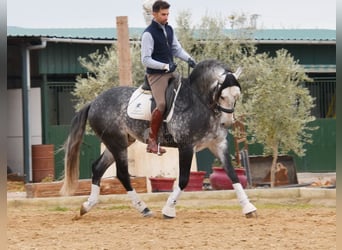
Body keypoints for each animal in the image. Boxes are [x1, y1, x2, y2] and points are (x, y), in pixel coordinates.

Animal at [60, 59, 256, 219]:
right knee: (122, 174)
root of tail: (94, 102)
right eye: (222, 95)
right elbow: (183, 179)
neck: (200, 102)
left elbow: (232, 174)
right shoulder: (186, 146)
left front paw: (248, 207)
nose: (227, 122)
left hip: (119, 142)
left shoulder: (218, 145)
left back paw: (87, 206)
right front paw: (169, 210)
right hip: (117, 144)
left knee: (98, 168)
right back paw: (143, 208)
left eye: (237, 96)